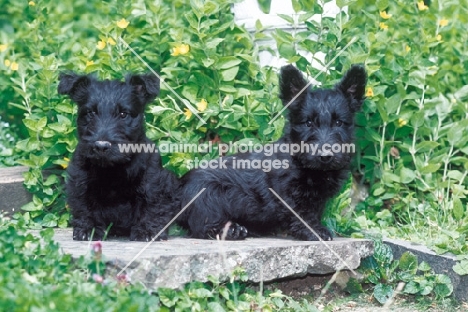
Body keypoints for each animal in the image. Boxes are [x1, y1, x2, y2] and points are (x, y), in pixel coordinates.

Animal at [57, 71, 177, 241]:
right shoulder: (80, 181)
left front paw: (147, 231)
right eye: (91, 113)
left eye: (123, 114)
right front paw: (88, 230)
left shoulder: (153, 181)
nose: (101, 146)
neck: (112, 168)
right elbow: (84, 206)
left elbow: (152, 204)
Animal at [179, 64, 366, 241]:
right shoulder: (289, 193)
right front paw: (315, 231)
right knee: (203, 226)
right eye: (308, 123)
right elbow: (302, 214)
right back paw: (233, 230)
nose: (325, 156)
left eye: (339, 122)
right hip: (208, 195)